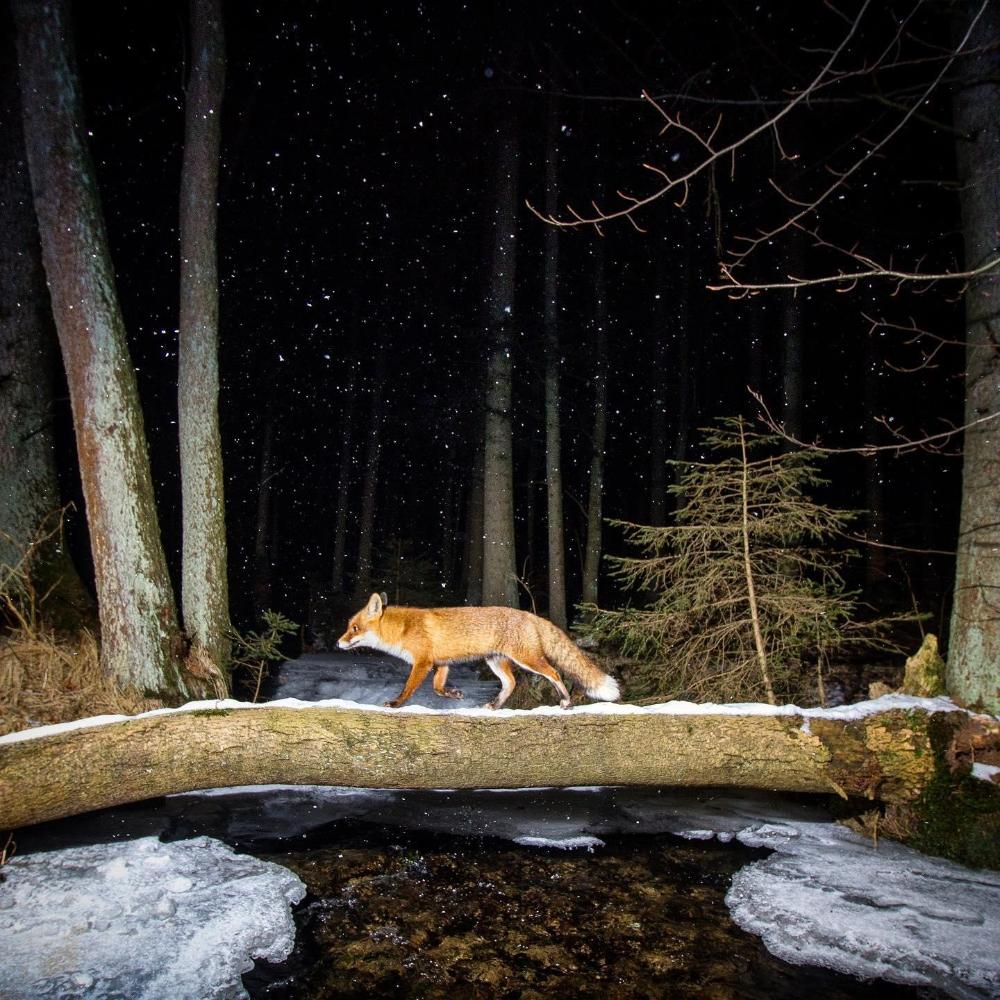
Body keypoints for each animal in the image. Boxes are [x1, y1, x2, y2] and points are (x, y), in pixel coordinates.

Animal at [337, 591, 620, 710]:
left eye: (354, 628)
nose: (338, 643)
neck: (403, 629)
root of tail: (531, 615)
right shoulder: (442, 663)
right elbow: (437, 688)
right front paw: (453, 694)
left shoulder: (423, 662)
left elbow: (409, 688)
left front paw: (396, 704)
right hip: (496, 662)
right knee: (511, 683)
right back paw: (495, 706)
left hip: (528, 659)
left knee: (555, 674)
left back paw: (566, 701)